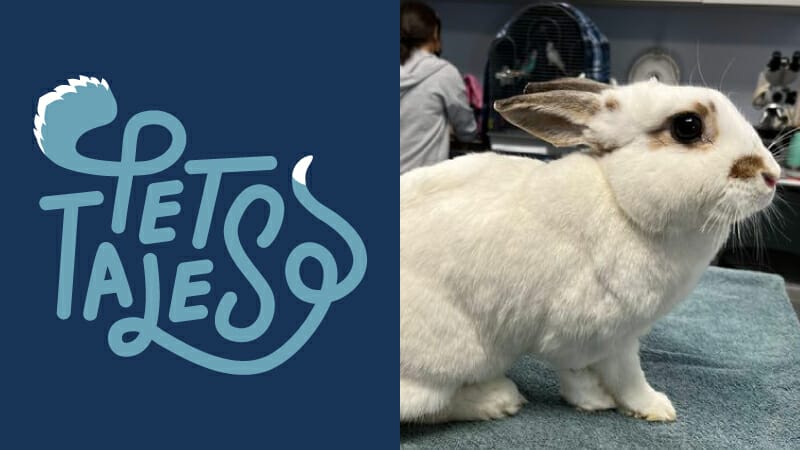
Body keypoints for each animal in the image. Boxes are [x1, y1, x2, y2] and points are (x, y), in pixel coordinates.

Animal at [400, 77, 780, 422]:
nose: (773, 175)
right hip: (457, 356)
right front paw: (653, 407)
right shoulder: (601, 334)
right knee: (426, 406)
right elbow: (624, 376)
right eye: (687, 126)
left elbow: (575, 372)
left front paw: (592, 401)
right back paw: (498, 400)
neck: (622, 202)